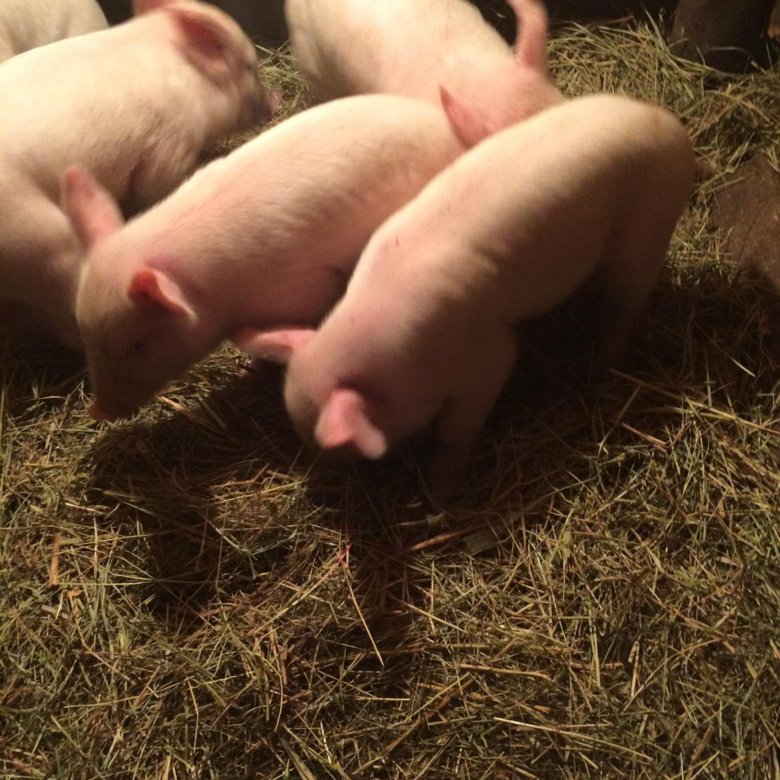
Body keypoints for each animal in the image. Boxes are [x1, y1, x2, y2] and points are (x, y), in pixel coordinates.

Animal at [61, 94, 466, 420]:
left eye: (138, 344)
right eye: (85, 334)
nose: (97, 411)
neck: (216, 293)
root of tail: (453, 137)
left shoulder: (301, 288)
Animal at [254, 94, 695, 496]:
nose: (321, 475)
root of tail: (674, 130)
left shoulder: (487, 359)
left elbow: (457, 428)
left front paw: (439, 493)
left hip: (649, 228)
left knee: (626, 301)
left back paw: (604, 363)